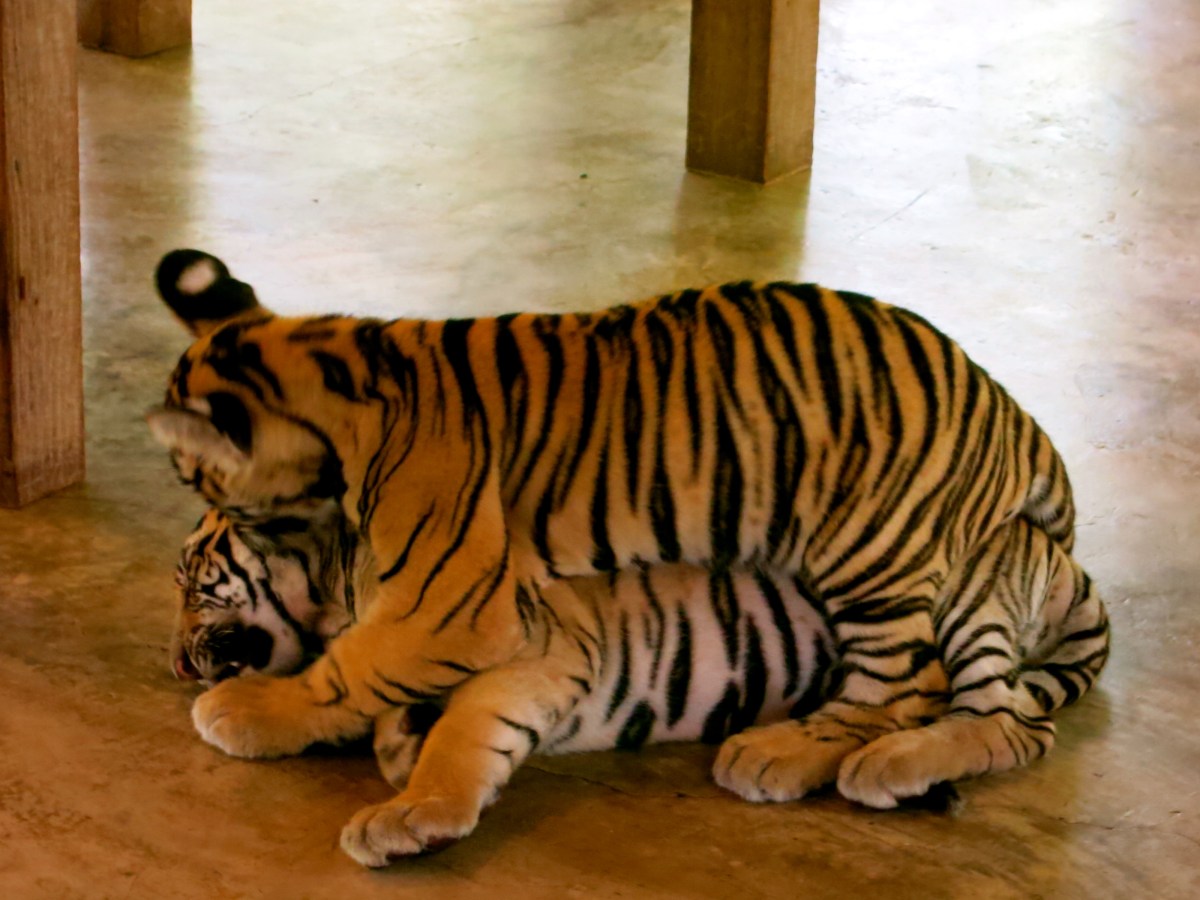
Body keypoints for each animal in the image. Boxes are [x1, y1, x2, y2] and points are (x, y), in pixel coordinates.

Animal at [147, 249, 1109, 866]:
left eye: (196, 580)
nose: (175, 662)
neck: (355, 367)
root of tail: (1012, 412)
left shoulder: (466, 611)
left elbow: (356, 675)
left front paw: (259, 718)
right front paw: (398, 747)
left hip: (886, 551)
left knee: (955, 704)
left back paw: (804, 755)